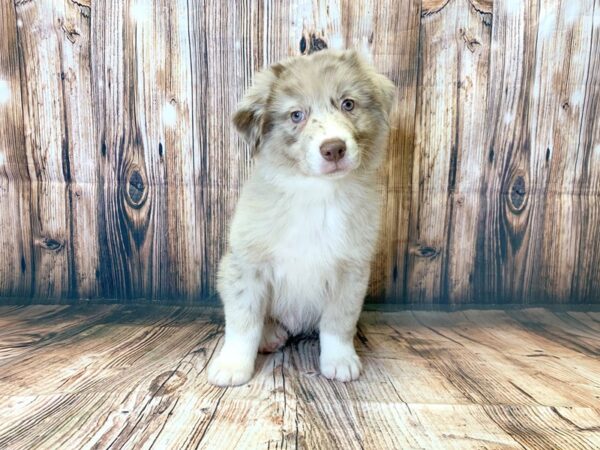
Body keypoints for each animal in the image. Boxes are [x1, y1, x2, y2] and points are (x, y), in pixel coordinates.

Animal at [206, 50, 394, 386]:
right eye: (296, 115)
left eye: (348, 104)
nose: (334, 149)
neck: (316, 195)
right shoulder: (247, 265)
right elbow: (243, 321)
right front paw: (232, 364)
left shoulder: (352, 271)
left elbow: (339, 321)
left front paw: (340, 359)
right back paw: (270, 335)